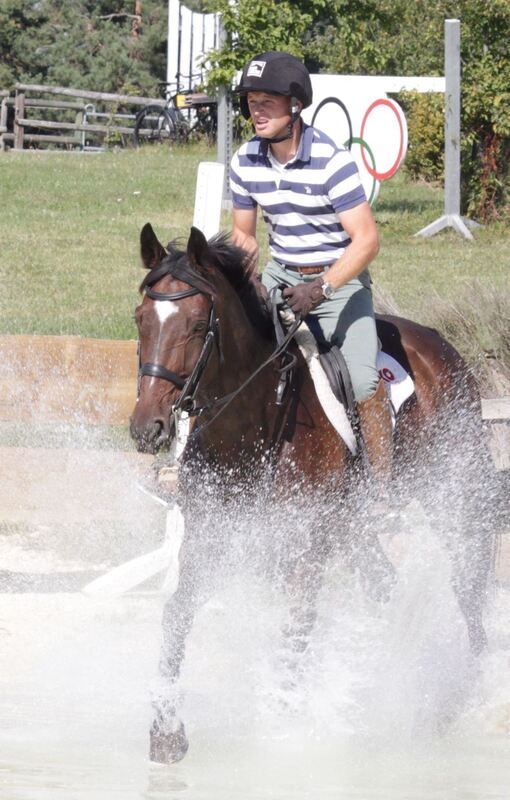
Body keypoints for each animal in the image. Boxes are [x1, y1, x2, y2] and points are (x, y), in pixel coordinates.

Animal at [129, 222, 496, 764]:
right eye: (141, 321)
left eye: (197, 327)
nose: (147, 428)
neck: (255, 423)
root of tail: (440, 344)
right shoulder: (213, 536)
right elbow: (177, 615)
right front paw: (166, 730)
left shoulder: (306, 545)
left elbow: (296, 627)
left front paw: (280, 729)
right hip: (356, 531)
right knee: (385, 588)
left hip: (453, 500)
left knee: (468, 592)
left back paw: (462, 702)